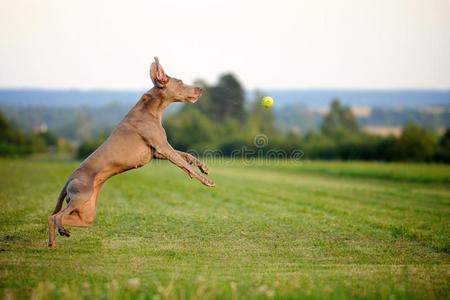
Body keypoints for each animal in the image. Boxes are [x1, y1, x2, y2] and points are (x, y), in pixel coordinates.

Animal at [47, 57, 214, 247]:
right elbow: (185, 164)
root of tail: (69, 179)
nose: (201, 89)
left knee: (53, 217)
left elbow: (187, 155)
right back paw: (61, 232)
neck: (151, 109)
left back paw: (53, 243)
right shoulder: (163, 146)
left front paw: (203, 167)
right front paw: (207, 181)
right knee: (55, 217)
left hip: (86, 214)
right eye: (180, 82)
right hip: (81, 196)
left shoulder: (158, 152)